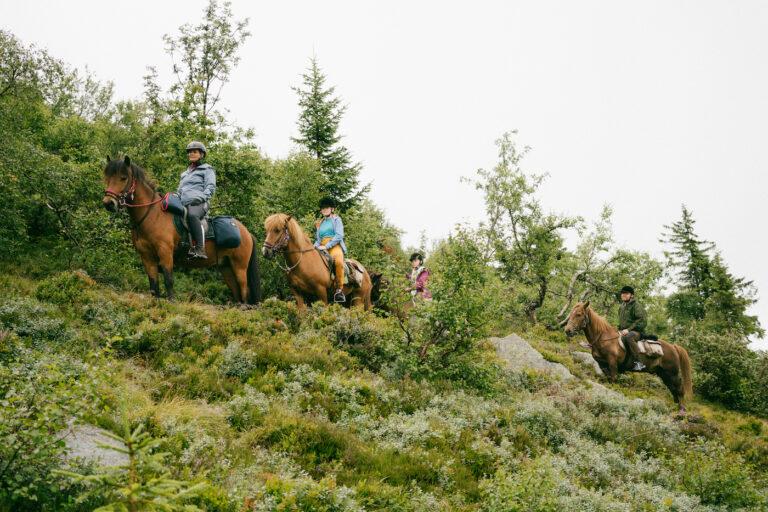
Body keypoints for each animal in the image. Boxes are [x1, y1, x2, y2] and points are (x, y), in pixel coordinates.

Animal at [101, 154, 260, 302]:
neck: (152, 215)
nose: (108, 203)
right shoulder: (147, 257)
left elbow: (169, 281)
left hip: (239, 268)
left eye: (123, 178)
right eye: (107, 177)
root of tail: (246, 232)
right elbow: (153, 286)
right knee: (237, 294)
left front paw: (171, 302)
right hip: (226, 268)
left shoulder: (165, 253)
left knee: (245, 292)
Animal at [560, 300, 692, 412]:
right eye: (571, 313)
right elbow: (609, 381)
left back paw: (682, 410)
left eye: (579, 314)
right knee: (673, 390)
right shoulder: (602, 365)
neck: (604, 339)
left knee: (679, 389)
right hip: (663, 374)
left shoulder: (613, 364)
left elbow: (613, 380)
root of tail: (673, 347)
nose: (568, 330)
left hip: (672, 373)